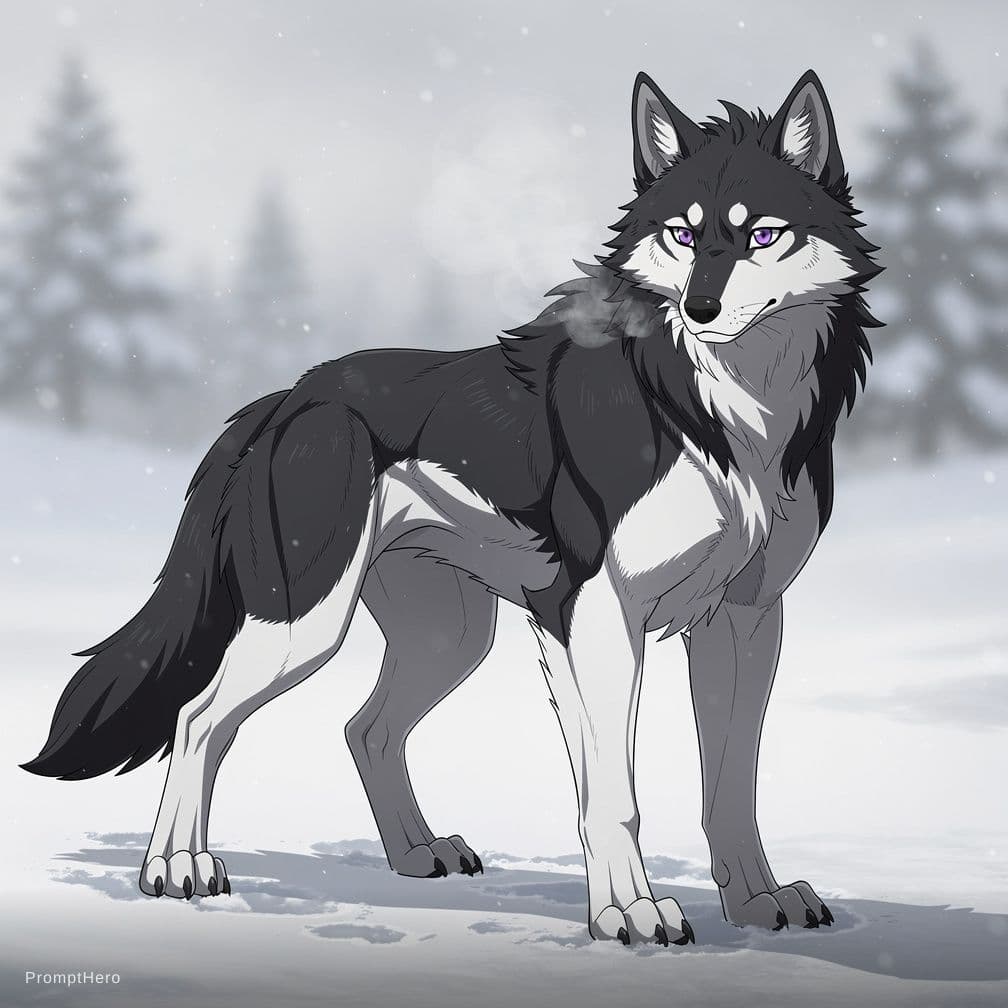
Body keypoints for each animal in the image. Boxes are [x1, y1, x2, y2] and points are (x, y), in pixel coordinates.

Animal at [24, 70, 880, 946]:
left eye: (762, 235)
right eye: (683, 234)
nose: (700, 309)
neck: (722, 412)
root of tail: (287, 398)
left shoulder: (746, 619)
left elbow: (732, 788)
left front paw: (757, 902)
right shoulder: (597, 617)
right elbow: (615, 796)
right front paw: (630, 913)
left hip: (453, 639)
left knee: (362, 727)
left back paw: (414, 853)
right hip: (304, 625)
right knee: (199, 721)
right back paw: (176, 868)